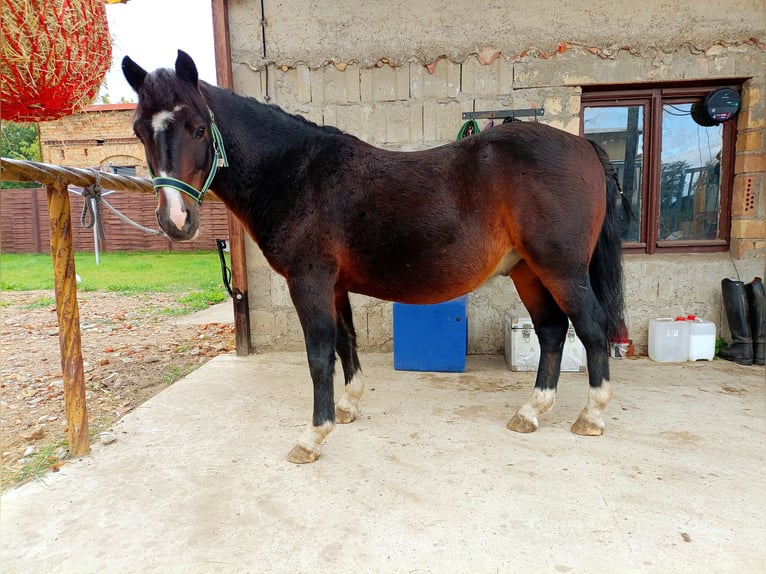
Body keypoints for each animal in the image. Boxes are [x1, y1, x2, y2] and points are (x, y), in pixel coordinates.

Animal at [123, 51, 628, 466]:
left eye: (198, 128)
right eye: (139, 130)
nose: (175, 219)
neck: (297, 172)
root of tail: (584, 147)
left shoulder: (308, 280)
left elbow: (319, 353)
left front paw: (313, 436)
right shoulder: (334, 284)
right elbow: (346, 341)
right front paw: (348, 407)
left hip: (561, 269)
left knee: (590, 328)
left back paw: (591, 416)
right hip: (527, 271)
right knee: (551, 331)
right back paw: (531, 411)